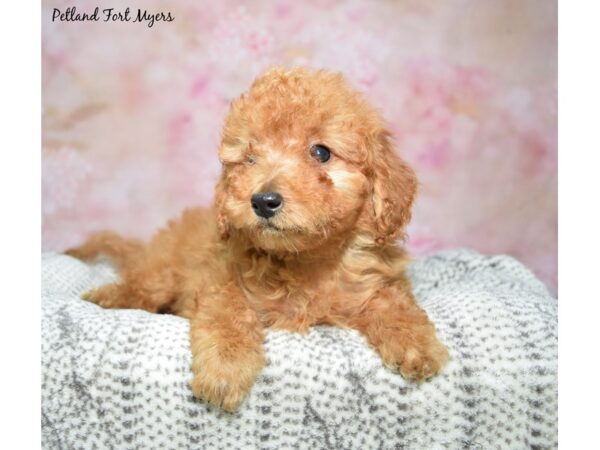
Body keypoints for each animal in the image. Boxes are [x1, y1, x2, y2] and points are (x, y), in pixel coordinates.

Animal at [67, 67, 450, 412]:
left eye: (321, 152)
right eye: (250, 158)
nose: (263, 200)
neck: (306, 260)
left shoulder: (376, 279)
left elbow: (394, 301)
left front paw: (416, 343)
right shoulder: (216, 278)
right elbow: (228, 311)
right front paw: (225, 367)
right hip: (162, 274)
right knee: (141, 286)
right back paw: (108, 296)